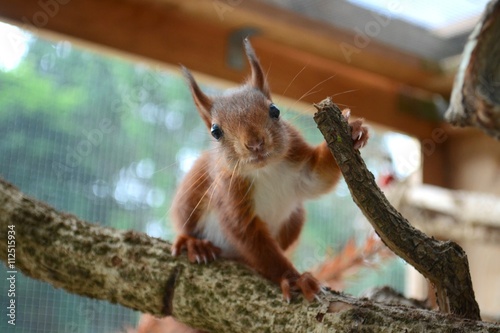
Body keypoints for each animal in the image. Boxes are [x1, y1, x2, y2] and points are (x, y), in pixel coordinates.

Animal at [171, 39, 368, 300]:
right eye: (215, 131)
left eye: (275, 110)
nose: (255, 143)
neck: (265, 170)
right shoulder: (229, 193)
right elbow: (252, 240)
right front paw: (295, 279)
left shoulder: (299, 163)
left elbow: (318, 178)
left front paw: (353, 129)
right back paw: (196, 245)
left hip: (295, 219)